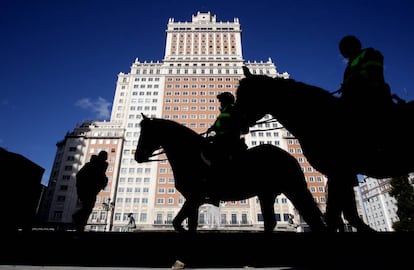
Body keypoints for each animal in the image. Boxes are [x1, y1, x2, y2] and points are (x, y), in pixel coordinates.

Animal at [136, 115, 326, 233]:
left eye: (146, 134)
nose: (137, 156)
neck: (191, 155)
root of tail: (287, 156)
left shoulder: (195, 197)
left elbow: (178, 223)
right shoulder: (194, 200)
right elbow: (187, 225)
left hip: (292, 189)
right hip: (267, 193)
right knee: (273, 222)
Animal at [234, 67, 412, 232]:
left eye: (246, 93)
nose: (234, 120)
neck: (322, 119)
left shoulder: (340, 172)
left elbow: (336, 216)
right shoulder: (341, 174)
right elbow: (344, 215)